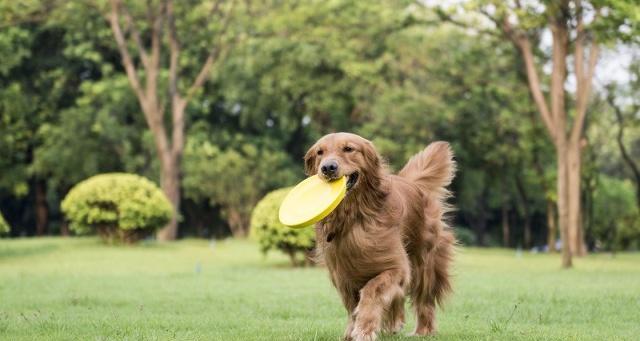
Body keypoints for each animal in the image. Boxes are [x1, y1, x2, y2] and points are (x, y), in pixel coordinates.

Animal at [304, 131, 456, 338]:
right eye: (320, 152)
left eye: (348, 149)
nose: (328, 167)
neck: (353, 217)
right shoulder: (343, 274)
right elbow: (352, 304)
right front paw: (352, 331)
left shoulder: (396, 267)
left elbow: (372, 291)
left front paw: (364, 329)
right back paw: (393, 326)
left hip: (424, 262)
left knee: (424, 299)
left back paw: (423, 331)